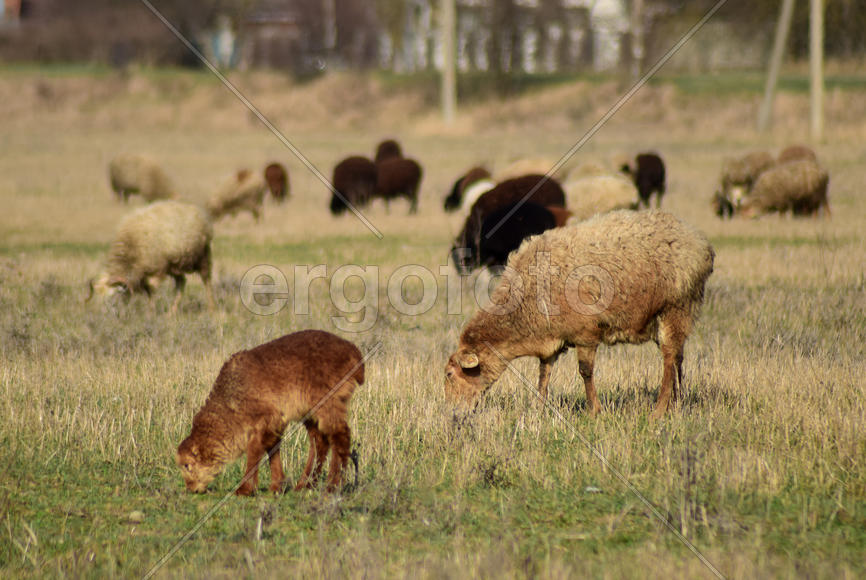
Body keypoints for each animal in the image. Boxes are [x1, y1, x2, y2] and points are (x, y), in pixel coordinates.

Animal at [176, 330, 364, 495]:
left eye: (187, 465)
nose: (191, 488)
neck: (232, 397)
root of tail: (354, 351)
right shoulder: (275, 424)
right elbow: (272, 449)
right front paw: (277, 486)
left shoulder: (265, 420)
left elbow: (254, 451)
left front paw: (244, 490)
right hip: (309, 412)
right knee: (319, 442)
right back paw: (305, 485)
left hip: (326, 405)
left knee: (340, 436)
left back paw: (332, 486)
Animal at [445, 210, 715, 419]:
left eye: (449, 374)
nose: (453, 415)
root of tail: (701, 243)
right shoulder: (550, 339)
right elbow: (543, 374)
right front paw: (538, 409)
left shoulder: (585, 334)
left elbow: (585, 371)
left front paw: (594, 410)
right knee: (678, 357)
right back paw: (676, 404)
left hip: (676, 306)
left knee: (669, 359)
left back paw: (659, 411)